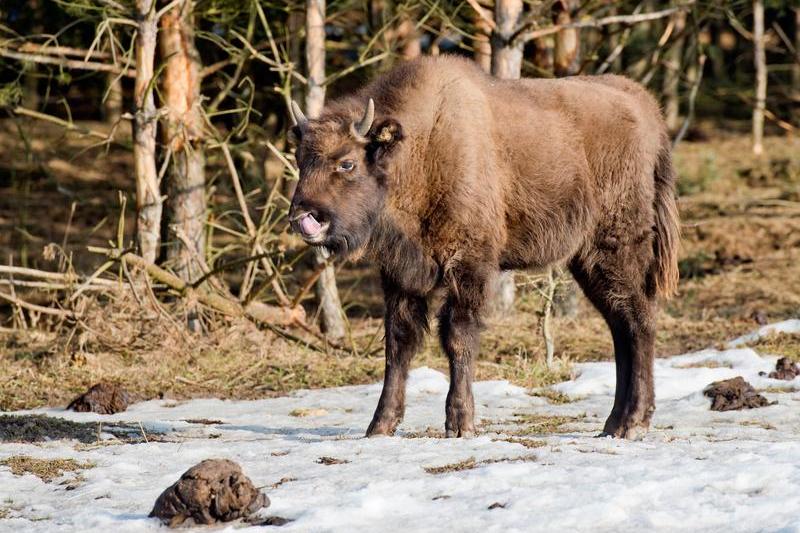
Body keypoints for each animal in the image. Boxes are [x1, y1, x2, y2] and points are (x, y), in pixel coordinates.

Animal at [284, 54, 680, 438]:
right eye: (301, 159)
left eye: (347, 163)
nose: (304, 216)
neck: (420, 148)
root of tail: (647, 108)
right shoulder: (401, 275)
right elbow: (397, 345)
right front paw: (379, 426)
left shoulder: (468, 266)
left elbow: (458, 338)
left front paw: (460, 424)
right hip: (588, 261)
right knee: (620, 326)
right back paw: (612, 424)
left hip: (617, 247)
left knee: (639, 320)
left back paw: (632, 423)